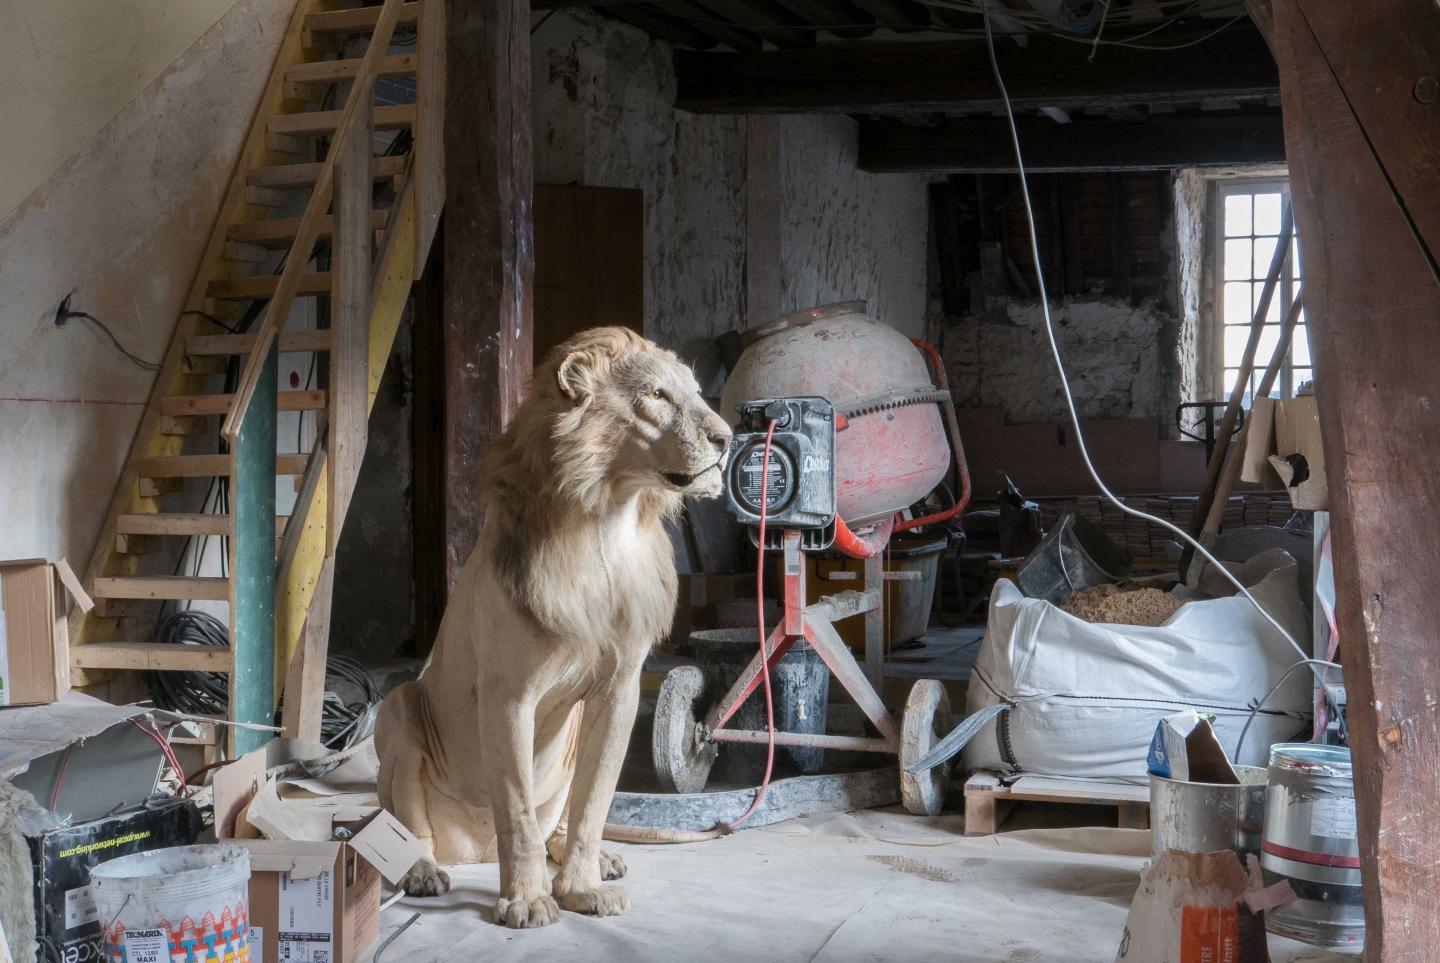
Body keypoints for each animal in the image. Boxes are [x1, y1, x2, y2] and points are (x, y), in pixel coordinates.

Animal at [374, 326, 731, 927]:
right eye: (657, 395)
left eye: (697, 393)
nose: (728, 438)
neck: (606, 521)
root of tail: (474, 848)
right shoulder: (508, 696)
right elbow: (515, 810)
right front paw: (528, 899)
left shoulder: (619, 691)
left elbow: (594, 801)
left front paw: (583, 888)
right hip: (397, 712)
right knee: (407, 829)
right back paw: (421, 872)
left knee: (560, 821)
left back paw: (598, 860)